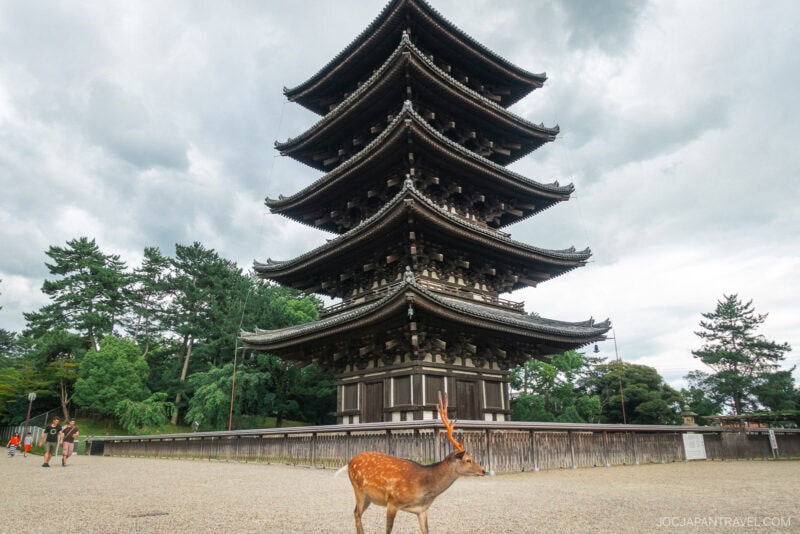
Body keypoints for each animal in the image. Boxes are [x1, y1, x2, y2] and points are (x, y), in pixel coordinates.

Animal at [347, 392, 486, 534]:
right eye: (468, 460)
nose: (483, 470)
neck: (423, 487)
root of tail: (350, 462)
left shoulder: (422, 510)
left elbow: (426, 530)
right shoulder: (392, 501)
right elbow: (388, 530)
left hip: (368, 497)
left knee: (355, 513)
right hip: (358, 489)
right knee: (357, 513)